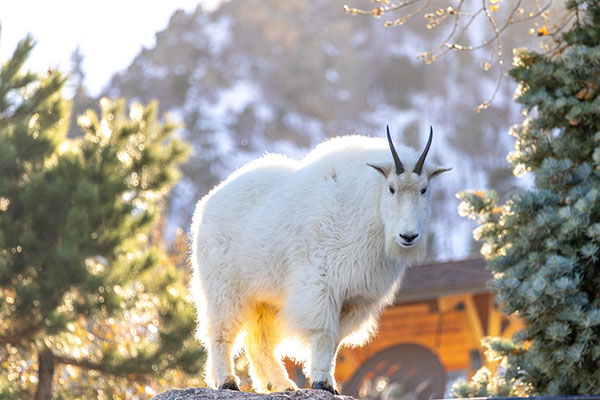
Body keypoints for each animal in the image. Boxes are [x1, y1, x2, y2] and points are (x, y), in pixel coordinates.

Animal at [191, 127, 450, 394]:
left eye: (424, 189)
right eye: (391, 188)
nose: (408, 236)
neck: (368, 210)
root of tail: (206, 204)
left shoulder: (354, 298)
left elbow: (336, 341)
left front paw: (329, 383)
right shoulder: (321, 284)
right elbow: (324, 333)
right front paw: (322, 383)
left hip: (265, 299)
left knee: (260, 343)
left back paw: (282, 385)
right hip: (224, 288)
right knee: (221, 332)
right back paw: (227, 381)